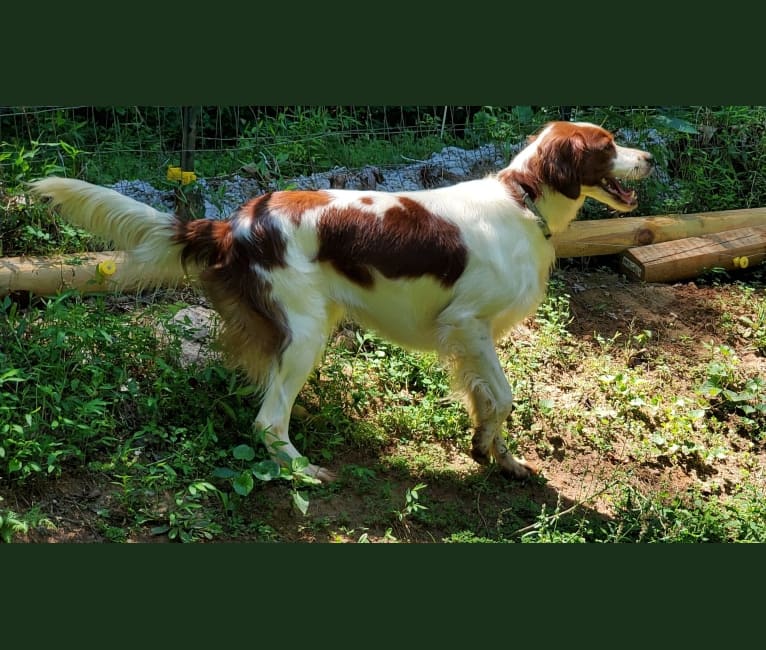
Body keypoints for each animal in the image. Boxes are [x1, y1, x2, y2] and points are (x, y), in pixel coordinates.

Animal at [30, 120, 656, 480]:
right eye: (608, 146)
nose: (648, 158)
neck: (521, 199)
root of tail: (237, 221)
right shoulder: (468, 324)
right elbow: (502, 396)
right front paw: (492, 450)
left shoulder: (477, 339)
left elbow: (487, 403)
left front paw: (496, 455)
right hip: (307, 331)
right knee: (267, 420)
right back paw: (303, 471)